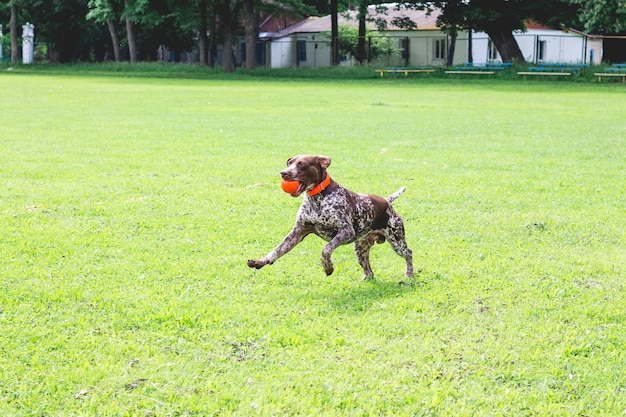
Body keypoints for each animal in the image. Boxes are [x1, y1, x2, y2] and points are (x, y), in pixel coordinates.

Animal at [246, 155, 412, 280]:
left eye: (302, 164)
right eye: (289, 163)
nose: (283, 173)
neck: (316, 199)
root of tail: (387, 202)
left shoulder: (345, 231)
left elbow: (325, 250)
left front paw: (328, 267)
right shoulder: (297, 233)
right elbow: (276, 250)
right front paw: (261, 261)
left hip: (397, 242)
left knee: (409, 253)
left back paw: (409, 275)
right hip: (360, 249)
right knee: (369, 271)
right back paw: (366, 279)